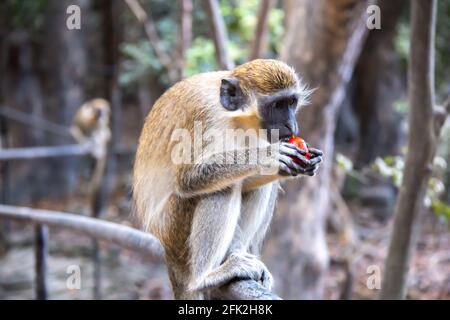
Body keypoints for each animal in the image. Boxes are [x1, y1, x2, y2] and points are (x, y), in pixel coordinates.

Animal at [132, 58, 322, 298]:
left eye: (291, 102)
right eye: (277, 105)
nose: (292, 125)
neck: (233, 116)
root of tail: (164, 245)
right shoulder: (203, 116)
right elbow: (187, 179)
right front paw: (269, 156)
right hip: (174, 228)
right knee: (221, 189)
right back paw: (203, 277)